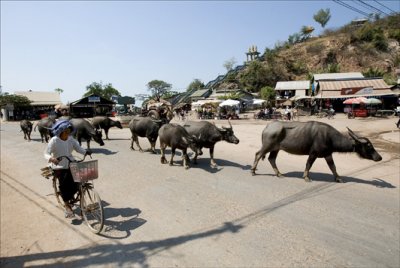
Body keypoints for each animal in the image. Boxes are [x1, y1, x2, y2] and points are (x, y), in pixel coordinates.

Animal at [252, 121, 382, 182]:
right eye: (369, 146)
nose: (379, 157)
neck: (329, 137)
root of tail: (267, 127)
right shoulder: (313, 153)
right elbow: (308, 165)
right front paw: (306, 177)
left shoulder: (328, 154)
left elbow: (333, 167)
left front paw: (339, 178)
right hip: (267, 146)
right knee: (258, 154)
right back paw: (253, 171)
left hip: (276, 149)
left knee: (271, 159)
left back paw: (279, 174)